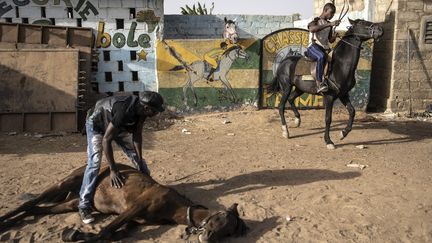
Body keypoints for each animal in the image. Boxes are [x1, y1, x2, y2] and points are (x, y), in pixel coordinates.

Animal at [0, 164, 248, 242]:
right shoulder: (132, 209)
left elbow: (113, 234)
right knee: (30, 203)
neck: (172, 206)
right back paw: (4, 221)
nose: (207, 238)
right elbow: (105, 232)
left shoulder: (134, 222)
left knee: (36, 209)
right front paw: (73, 235)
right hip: (65, 183)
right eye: (218, 218)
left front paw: (75, 234)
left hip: (70, 203)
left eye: (229, 233)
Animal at [268, 18, 384, 148]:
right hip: (286, 87)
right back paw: (285, 131)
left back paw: (297, 120)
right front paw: (328, 141)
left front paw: (343, 133)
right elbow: (328, 118)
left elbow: (352, 111)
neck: (340, 65)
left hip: (299, 88)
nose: (380, 29)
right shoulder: (329, 97)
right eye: (362, 23)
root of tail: (284, 61)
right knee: (281, 106)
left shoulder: (343, 94)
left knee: (291, 99)